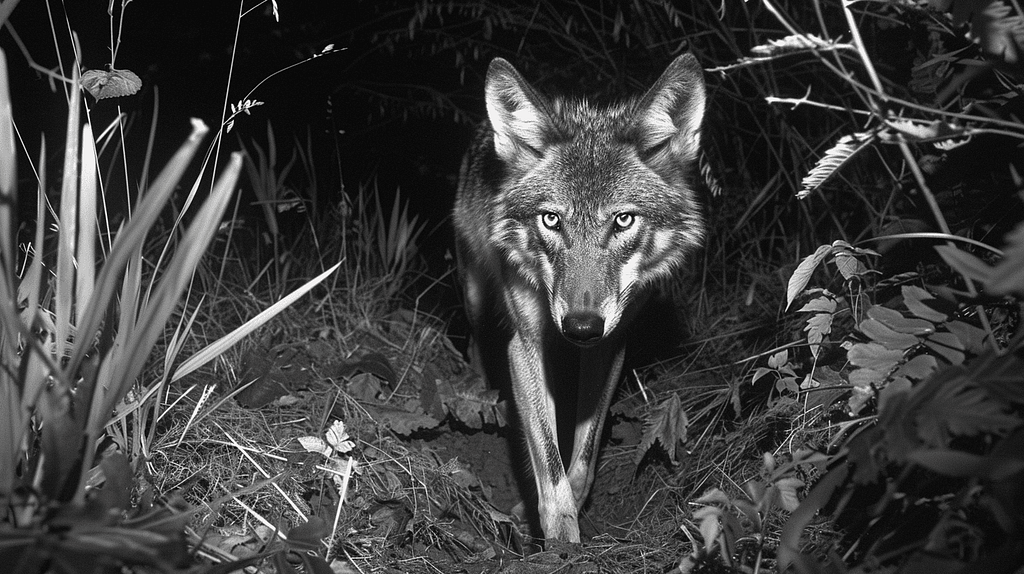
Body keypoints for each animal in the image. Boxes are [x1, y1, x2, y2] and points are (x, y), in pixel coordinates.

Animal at [453, 53, 706, 543]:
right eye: (551, 220)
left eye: (623, 220)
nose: (581, 326)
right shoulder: (525, 346)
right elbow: (549, 464)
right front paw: (560, 541)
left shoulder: (610, 345)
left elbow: (583, 458)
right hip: (475, 292)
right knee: (475, 339)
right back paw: (477, 391)